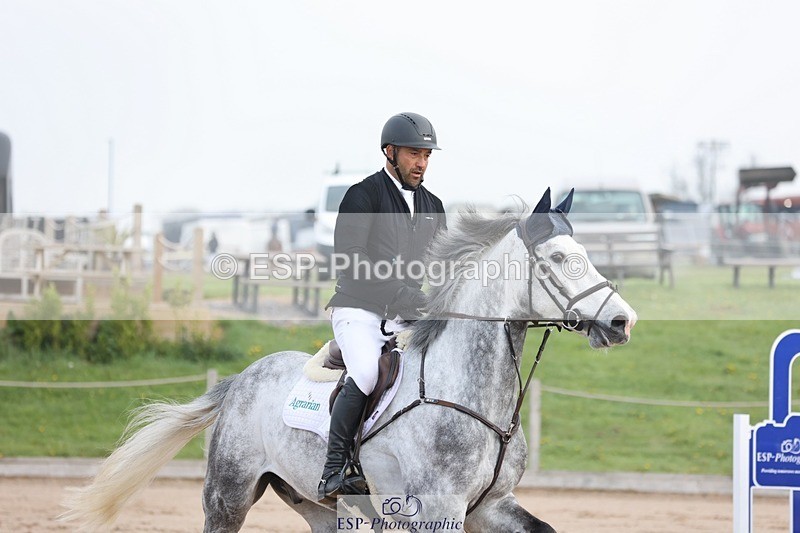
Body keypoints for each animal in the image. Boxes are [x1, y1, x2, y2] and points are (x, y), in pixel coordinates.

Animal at [61, 188, 637, 532]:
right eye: (559, 258)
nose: (621, 322)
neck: (472, 397)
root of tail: (244, 376)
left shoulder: (491, 506)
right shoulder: (439, 510)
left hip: (316, 503)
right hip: (228, 494)